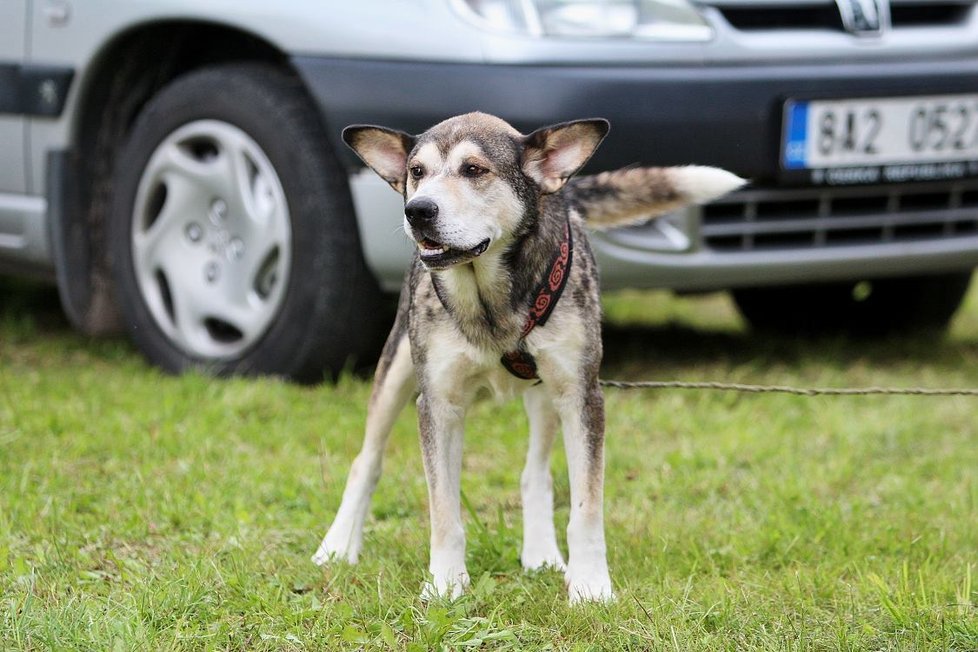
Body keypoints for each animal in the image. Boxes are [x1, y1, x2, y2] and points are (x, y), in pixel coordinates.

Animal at [312, 111, 740, 600]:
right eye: (416, 172)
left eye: (474, 170)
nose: (417, 210)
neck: (490, 297)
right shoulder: (438, 404)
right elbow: (443, 510)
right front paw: (445, 584)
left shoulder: (581, 396)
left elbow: (586, 506)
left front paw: (590, 586)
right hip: (397, 367)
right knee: (366, 460)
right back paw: (337, 545)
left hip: (545, 393)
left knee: (535, 473)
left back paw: (541, 553)